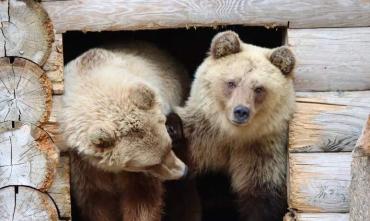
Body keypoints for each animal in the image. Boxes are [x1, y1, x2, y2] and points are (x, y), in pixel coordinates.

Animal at [60, 41, 189, 221]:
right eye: (151, 163)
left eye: (169, 146)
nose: (183, 171)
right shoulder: (84, 164)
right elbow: (97, 200)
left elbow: (142, 198)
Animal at [177, 31, 298, 221]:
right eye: (232, 82)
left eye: (259, 89)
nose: (241, 111)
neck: (233, 135)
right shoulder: (202, 136)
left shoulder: (260, 153)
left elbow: (261, 199)